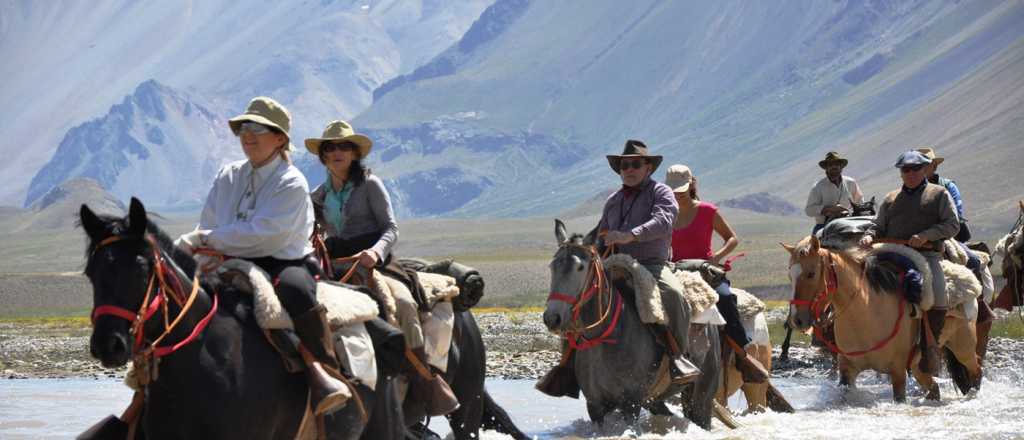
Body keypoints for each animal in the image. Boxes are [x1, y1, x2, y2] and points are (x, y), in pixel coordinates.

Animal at [544, 217, 720, 431]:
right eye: (553, 266)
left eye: (580, 267)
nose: (552, 318)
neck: (607, 337)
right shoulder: (595, 407)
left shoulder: (631, 403)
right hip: (657, 399)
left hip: (703, 393)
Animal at [782, 237, 983, 403]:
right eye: (790, 275)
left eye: (811, 273)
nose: (797, 320)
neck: (866, 313)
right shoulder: (847, 370)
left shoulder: (898, 372)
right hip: (918, 366)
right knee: (934, 388)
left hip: (963, 347)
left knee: (976, 370)